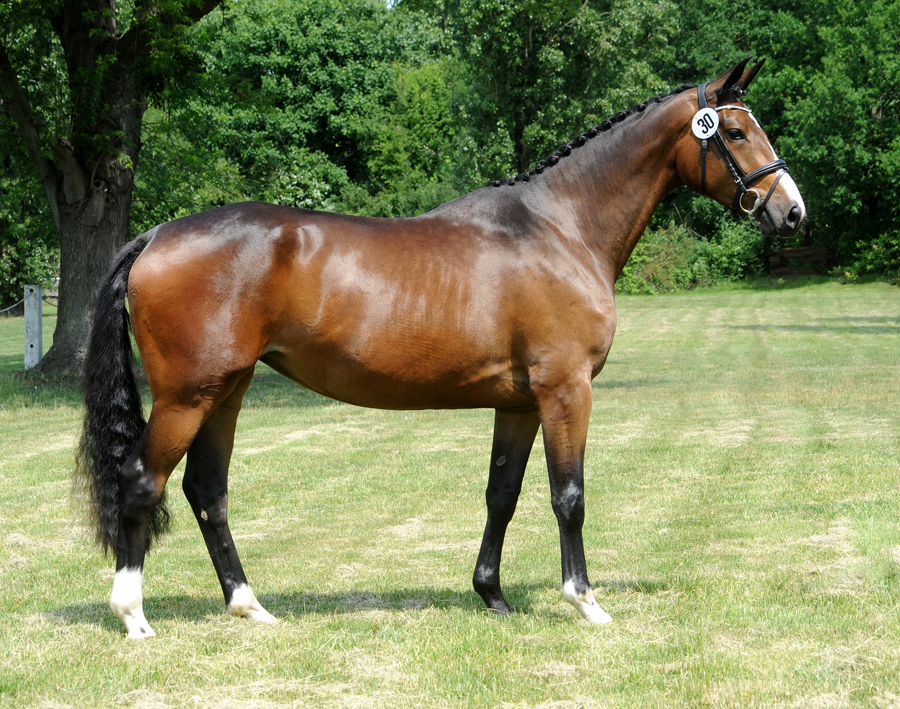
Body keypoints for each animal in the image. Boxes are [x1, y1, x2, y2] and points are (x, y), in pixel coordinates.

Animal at [77, 59, 804, 636]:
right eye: (735, 132)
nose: (791, 211)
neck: (559, 228)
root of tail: (157, 234)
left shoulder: (519, 402)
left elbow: (501, 492)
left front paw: (492, 594)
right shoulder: (565, 389)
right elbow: (568, 494)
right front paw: (585, 601)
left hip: (226, 391)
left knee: (207, 489)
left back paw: (249, 605)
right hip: (187, 395)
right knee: (143, 481)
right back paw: (133, 615)